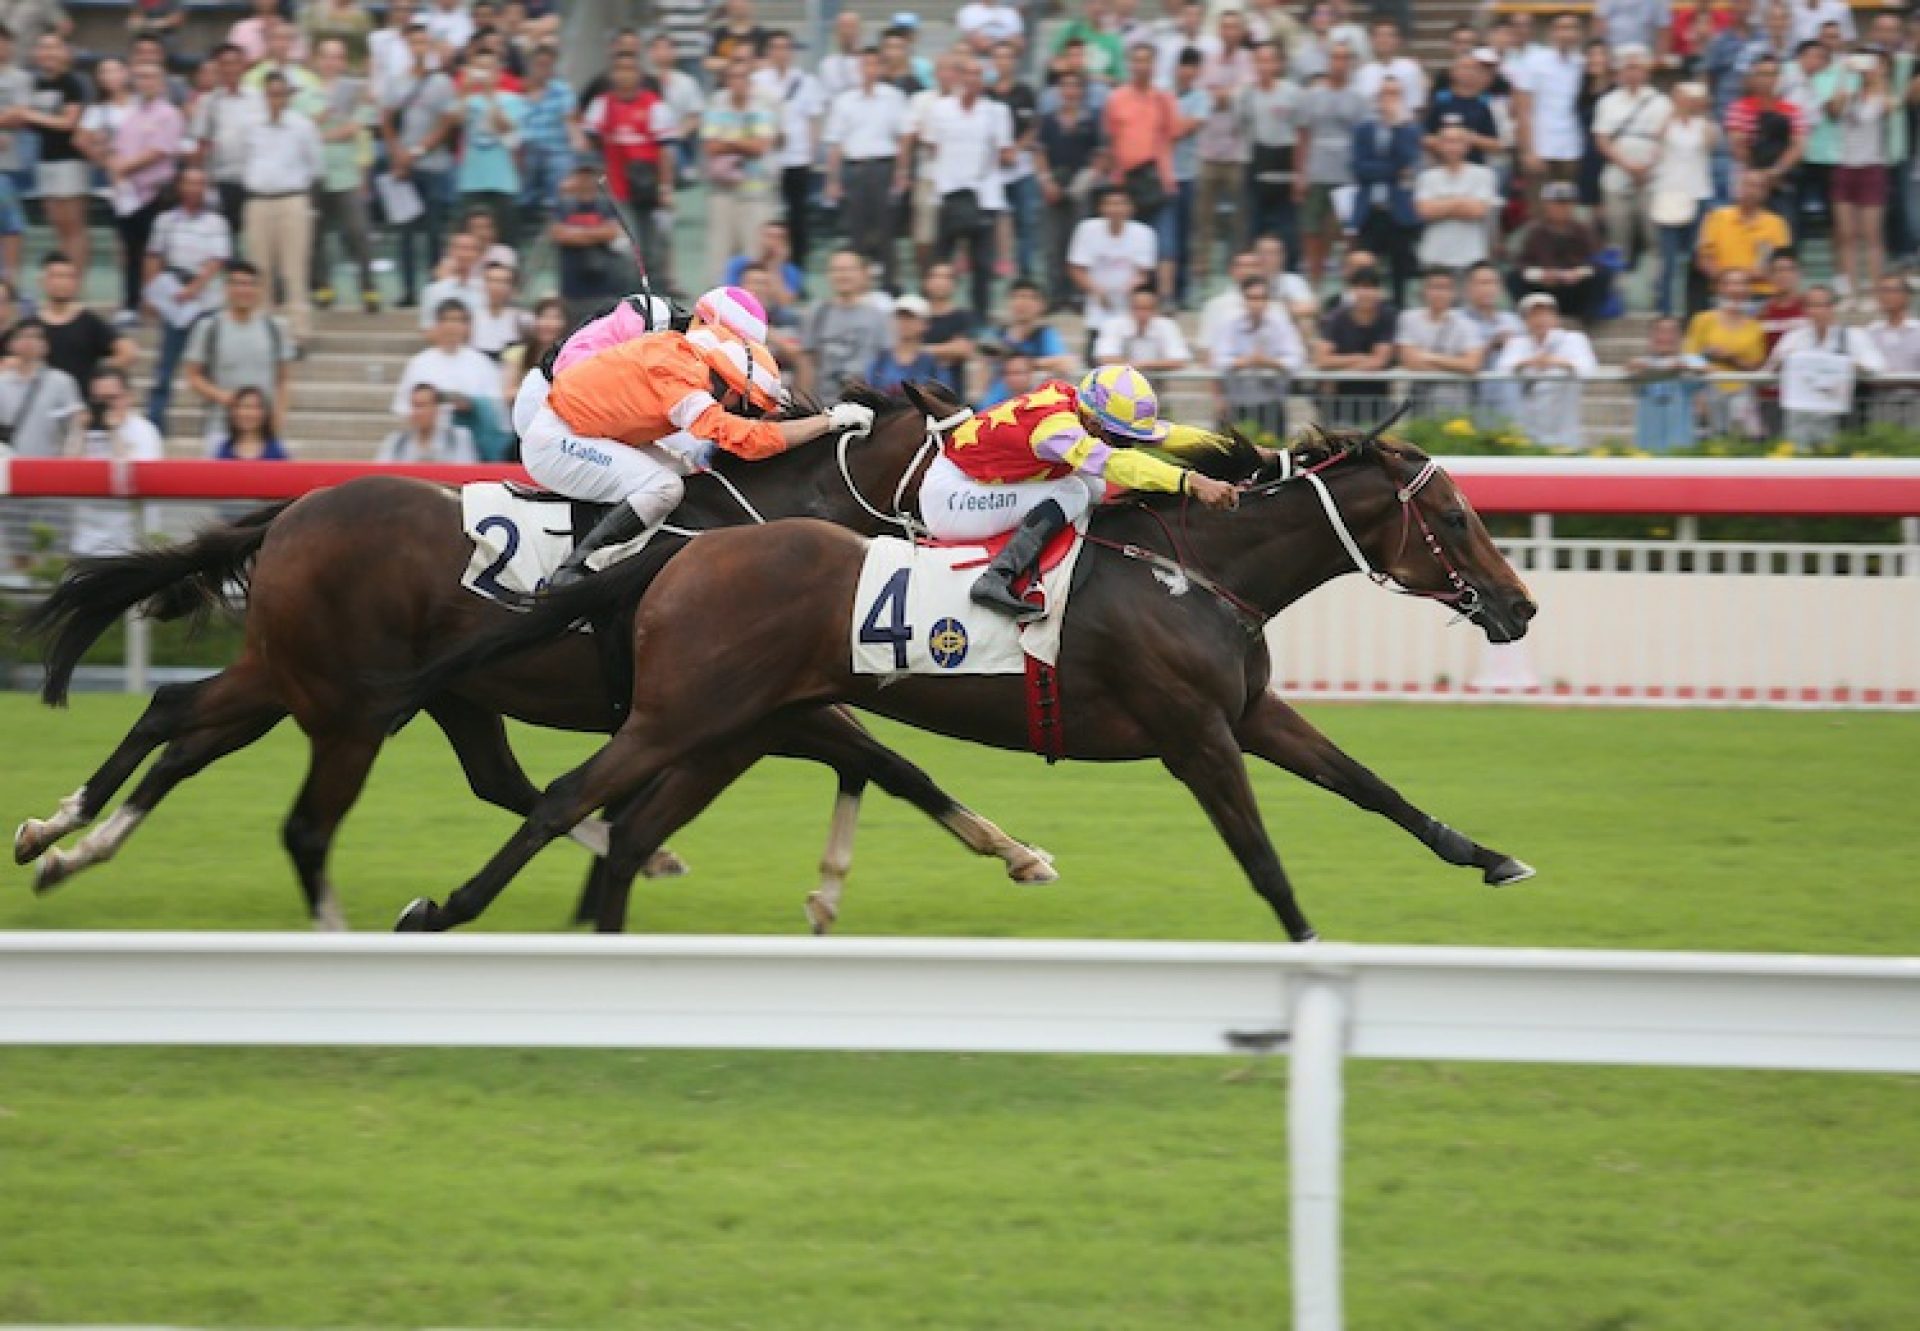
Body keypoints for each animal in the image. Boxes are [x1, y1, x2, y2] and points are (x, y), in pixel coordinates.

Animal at [7, 382, 1059, 925]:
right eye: (970, 450)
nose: (1008, 522)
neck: (766, 519)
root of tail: (296, 509)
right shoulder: (760, 702)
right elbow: (893, 762)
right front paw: (1018, 852)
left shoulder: (773, 699)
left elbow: (881, 766)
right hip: (332, 691)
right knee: (233, 765)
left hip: (324, 678)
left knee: (181, 725)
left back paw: (62, 839)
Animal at [393, 420, 1543, 941]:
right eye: (1453, 520)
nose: (1521, 606)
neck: (1194, 570)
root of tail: (690, 552)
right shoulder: (1196, 736)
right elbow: (1261, 855)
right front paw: (1307, 944)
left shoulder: (1250, 711)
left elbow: (1371, 786)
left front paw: (1493, 857)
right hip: (682, 716)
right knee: (562, 799)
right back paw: (442, 909)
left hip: (737, 725)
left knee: (628, 828)